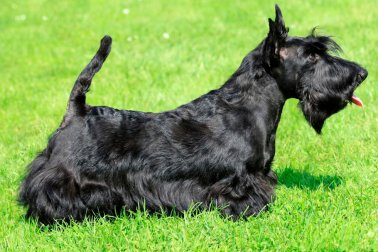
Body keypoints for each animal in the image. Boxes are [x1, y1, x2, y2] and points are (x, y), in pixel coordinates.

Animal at [19, 4, 368, 223]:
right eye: (312, 56)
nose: (362, 73)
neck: (246, 108)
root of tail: (77, 110)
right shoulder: (238, 179)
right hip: (65, 175)